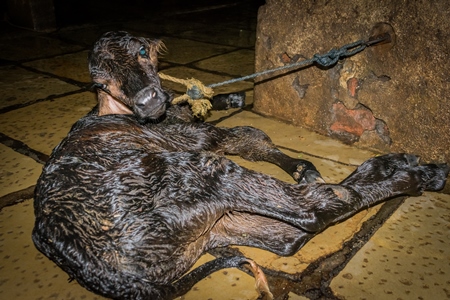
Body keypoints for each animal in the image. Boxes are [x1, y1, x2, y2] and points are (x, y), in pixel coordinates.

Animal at [30, 31, 446, 300]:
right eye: (102, 81)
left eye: (143, 51)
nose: (148, 100)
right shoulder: (193, 139)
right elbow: (247, 135)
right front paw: (298, 163)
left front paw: (229, 100)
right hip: (197, 173)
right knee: (315, 209)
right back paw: (414, 173)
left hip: (214, 227)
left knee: (290, 234)